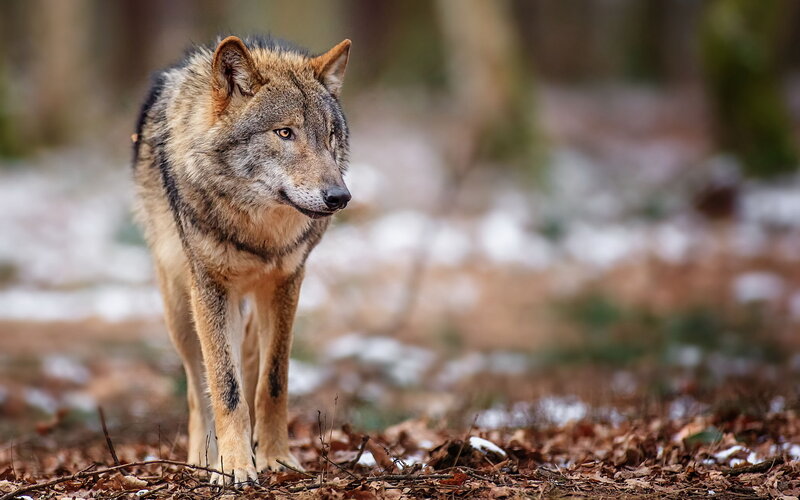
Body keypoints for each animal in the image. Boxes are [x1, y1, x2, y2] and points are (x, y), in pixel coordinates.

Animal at [132, 35, 352, 485]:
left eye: (330, 135)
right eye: (285, 133)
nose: (340, 197)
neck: (258, 231)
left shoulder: (287, 283)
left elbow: (273, 381)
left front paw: (275, 458)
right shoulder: (211, 288)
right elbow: (225, 386)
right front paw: (232, 466)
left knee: (250, 360)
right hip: (180, 309)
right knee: (197, 386)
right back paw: (203, 456)